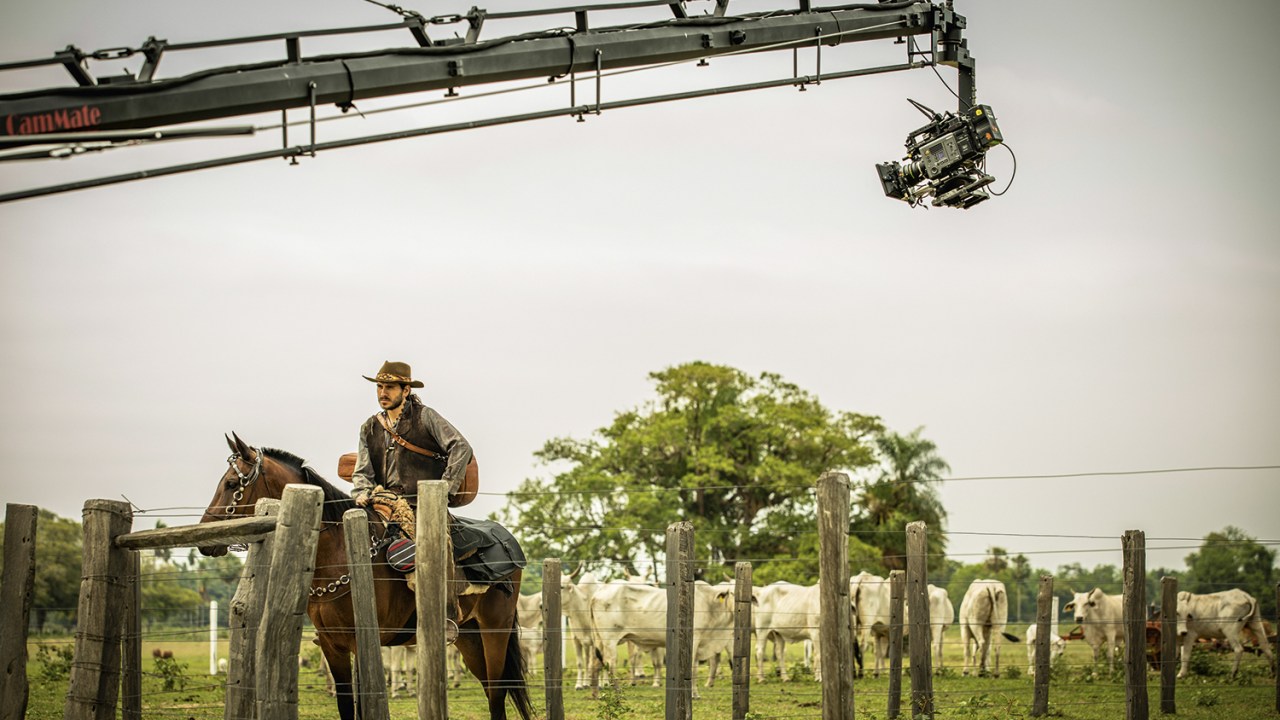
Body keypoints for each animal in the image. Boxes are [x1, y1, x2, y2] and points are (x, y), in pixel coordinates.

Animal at [195, 430, 535, 717]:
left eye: (231, 484)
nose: (205, 539)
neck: (341, 552)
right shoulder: (332, 644)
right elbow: (347, 705)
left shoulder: (362, 641)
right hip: (469, 637)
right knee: (490, 690)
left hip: (494, 631)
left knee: (496, 694)